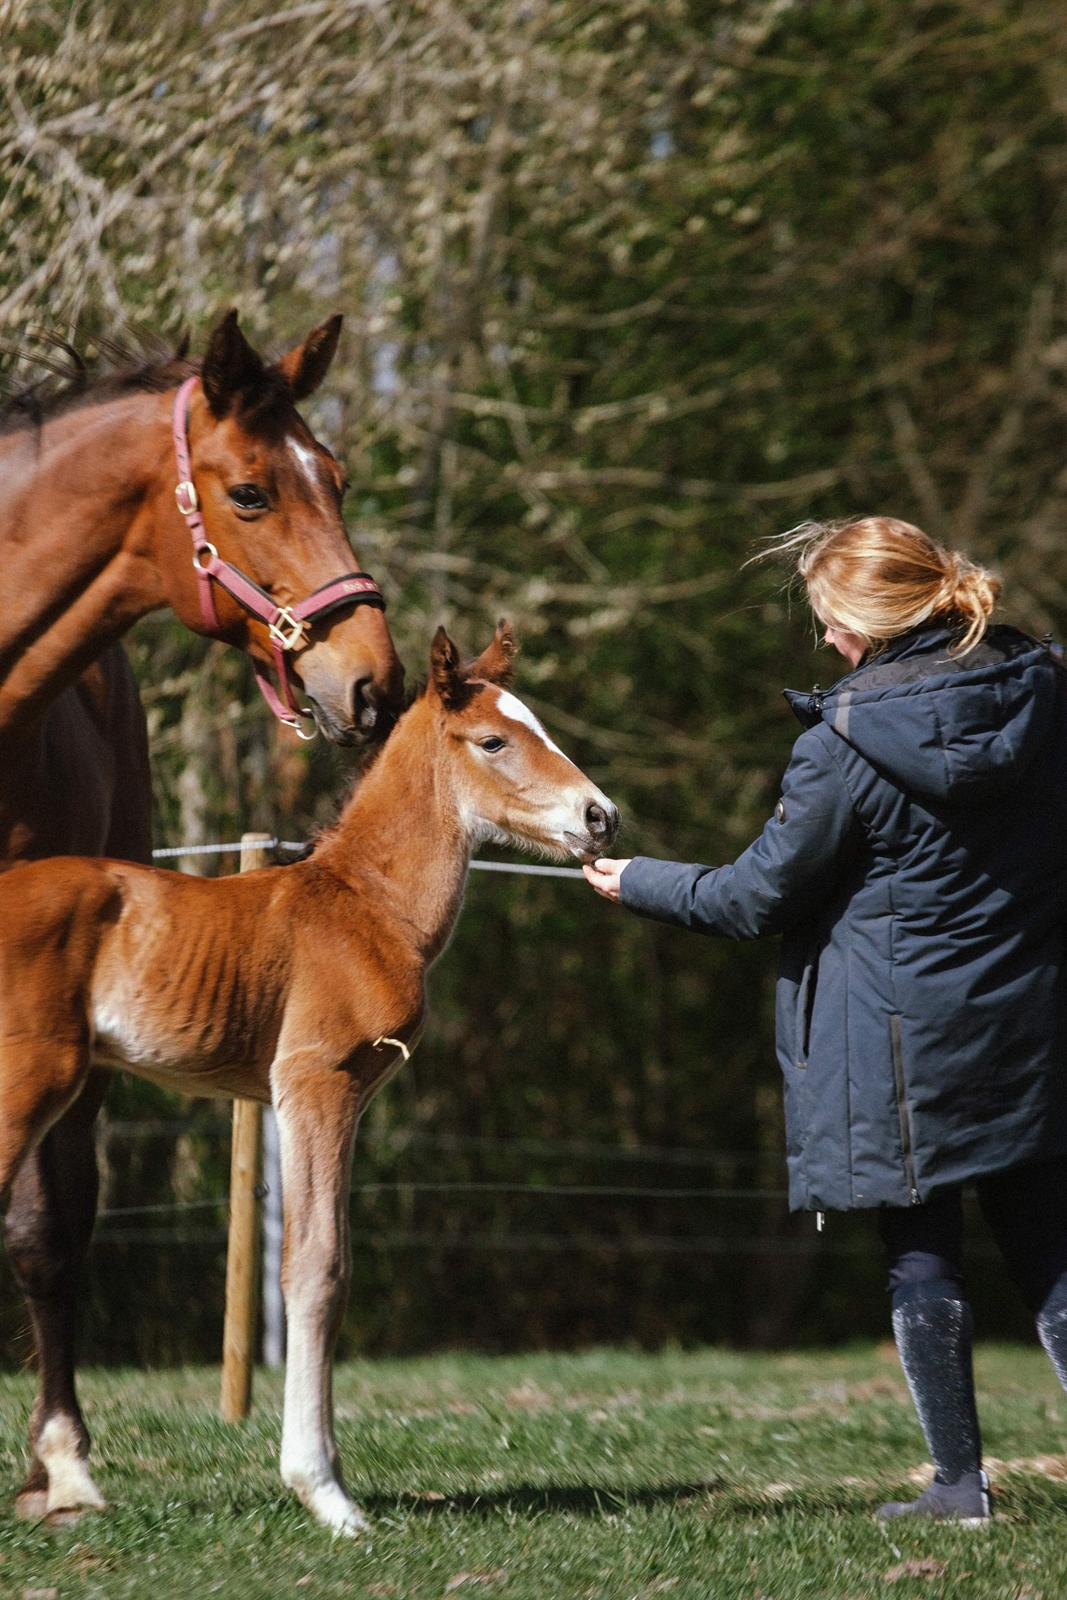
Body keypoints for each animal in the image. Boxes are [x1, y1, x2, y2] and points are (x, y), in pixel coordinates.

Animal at [0, 617, 617, 1529]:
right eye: (494, 741)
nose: (601, 816)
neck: (364, 905)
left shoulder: (345, 1094)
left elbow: (333, 1262)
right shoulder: (314, 1082)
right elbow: (315, 1266)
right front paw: (324, 1492)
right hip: (29, 1080)